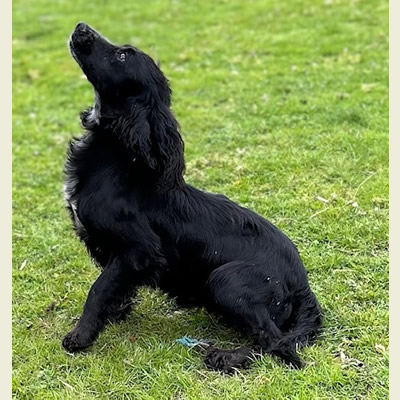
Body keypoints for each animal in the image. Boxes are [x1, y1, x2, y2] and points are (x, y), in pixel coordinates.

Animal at [62, 21, 322, 372]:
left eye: (122, 55)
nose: (81, 27)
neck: (118, 156)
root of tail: (302, 283)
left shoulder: (140, 251)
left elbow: (99, 288)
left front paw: (81, 336)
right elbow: (114, 289)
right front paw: (113, 316)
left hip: (225, 280)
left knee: (273, 340)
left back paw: (226, 357)